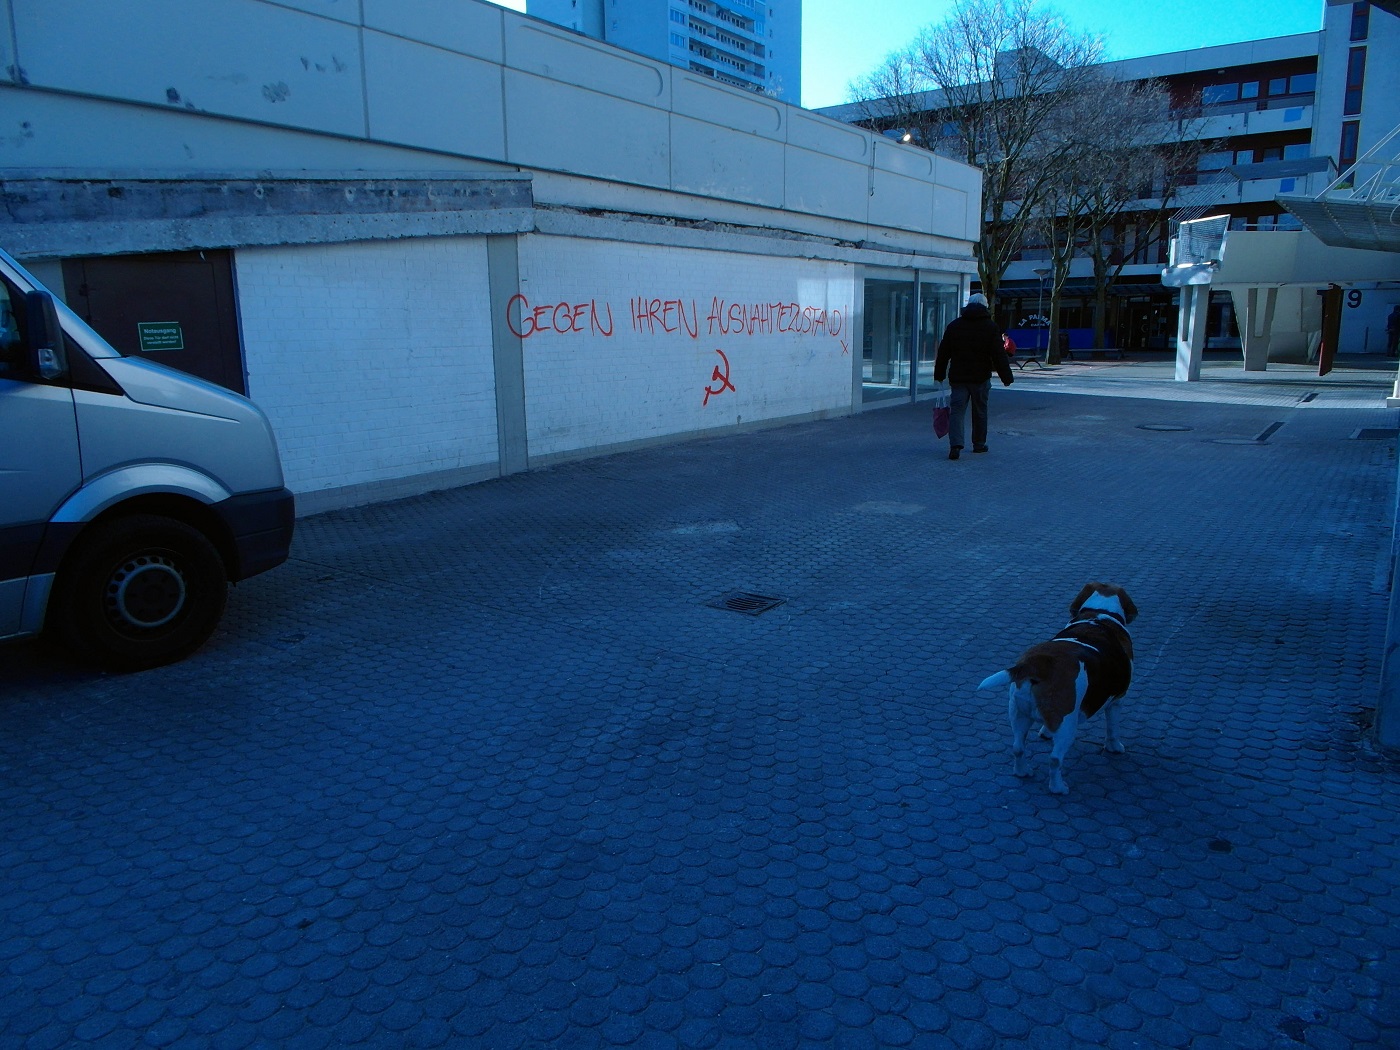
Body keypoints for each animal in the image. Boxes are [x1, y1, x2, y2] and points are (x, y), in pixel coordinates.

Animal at [980, 585, 1131, 795]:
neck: (1100, 615)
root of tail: (1038, 664)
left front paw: (1045, 733)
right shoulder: (1117, 701)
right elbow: (1113, 728)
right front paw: (1114, 746)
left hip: (1018, 713)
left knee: (1018, 747)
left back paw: (1023, 772)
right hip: (1067, 725)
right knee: (1054, 759)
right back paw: (1058, 787)